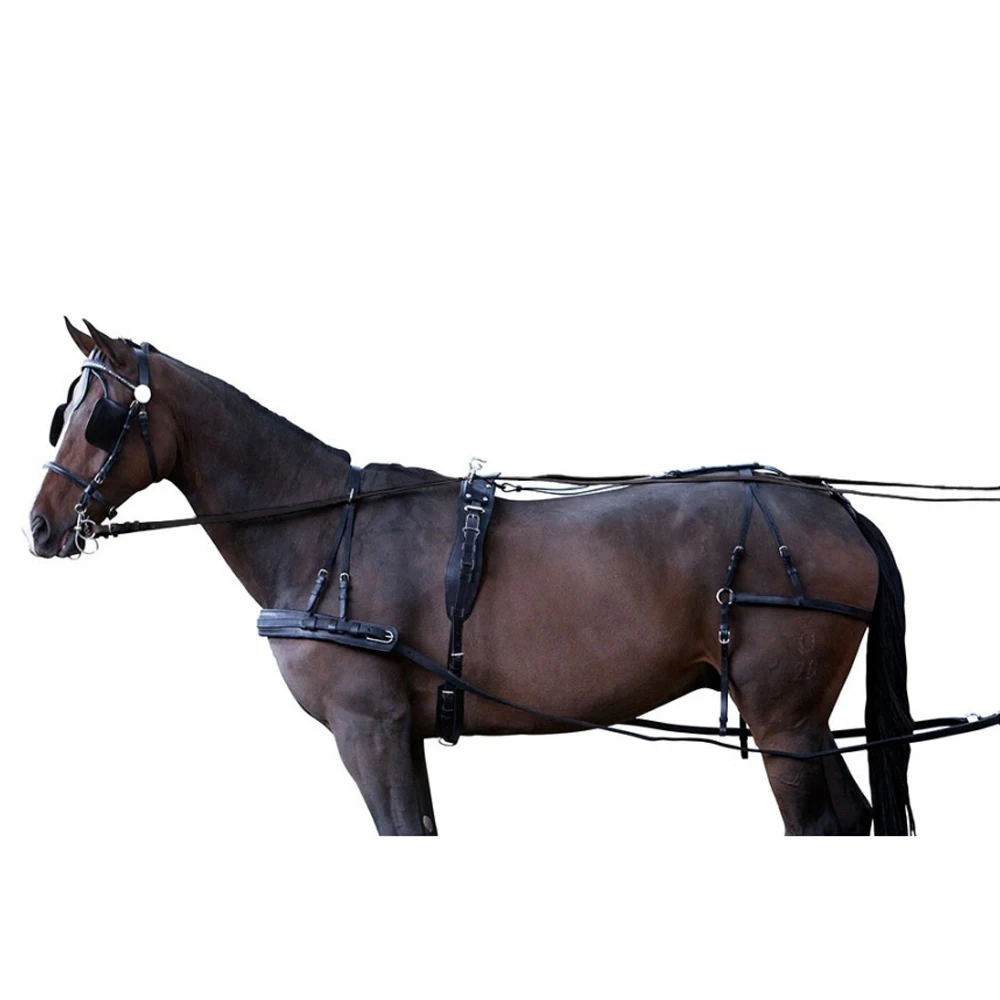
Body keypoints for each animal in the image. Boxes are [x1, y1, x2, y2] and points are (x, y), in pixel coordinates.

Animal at [28, 319, 914, 836]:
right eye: (62, 415)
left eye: (102, 418)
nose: (38, 525)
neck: (323, 534)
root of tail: (834, 509)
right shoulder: (400, 731)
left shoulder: (368, 725)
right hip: (800, 719)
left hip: (782, 718)